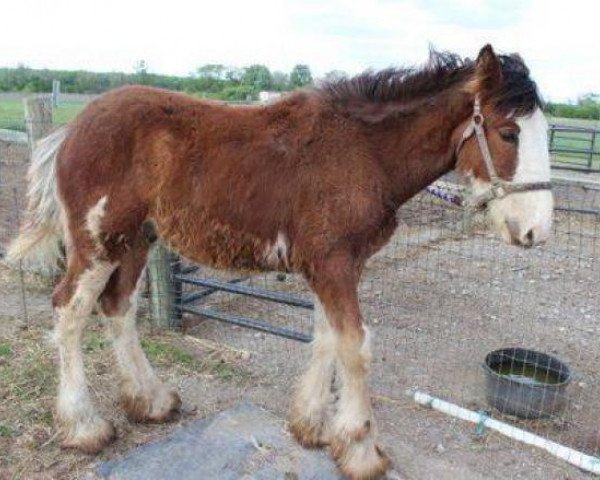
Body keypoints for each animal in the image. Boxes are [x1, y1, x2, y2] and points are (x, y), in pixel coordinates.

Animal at [8, 45, 552, 480]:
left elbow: (326, 338)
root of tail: (71, 128)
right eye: (508, 133)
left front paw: (311, 426)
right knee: (69, 311)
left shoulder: (335, 266)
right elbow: (355, 347)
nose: (537, 231)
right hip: (97, 241)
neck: (362, 153)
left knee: (118, 307)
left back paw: (151, 401)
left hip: (137, 239)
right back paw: (84, 426)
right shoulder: (334, 265)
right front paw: (360, 450)